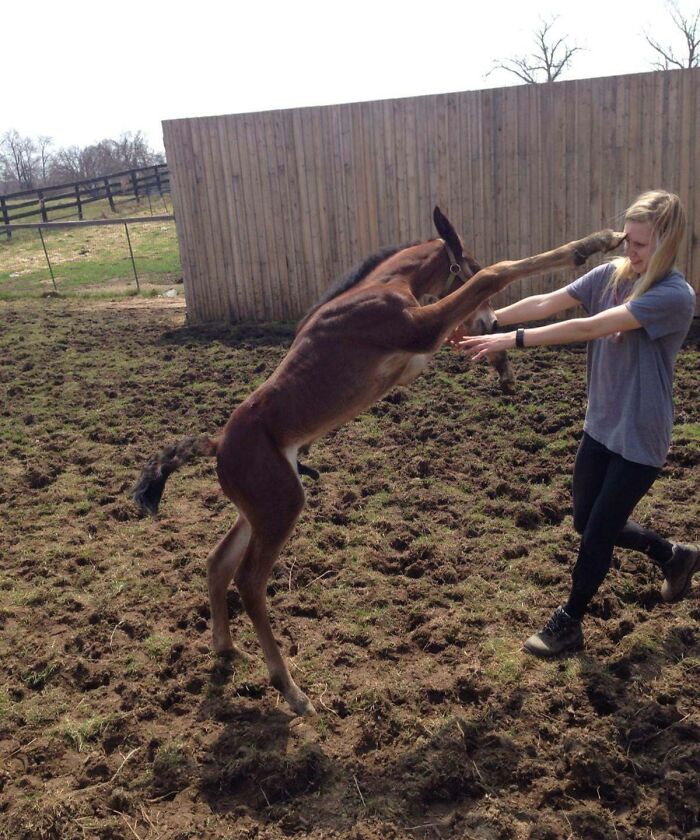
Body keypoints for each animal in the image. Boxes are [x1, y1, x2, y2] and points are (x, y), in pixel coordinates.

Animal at [132, 207, 623, 716]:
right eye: (466, 262)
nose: (491, 321)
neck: (381, 286)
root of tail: (218, 444)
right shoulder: (419, 328)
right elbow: (495, 274)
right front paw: (596, 242)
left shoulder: (420, 348)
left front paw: (502, 367)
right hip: (281, 507)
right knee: (249, 583)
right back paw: (290, 688)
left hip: (259, 510)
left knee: (217, 563)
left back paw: (227, 649)